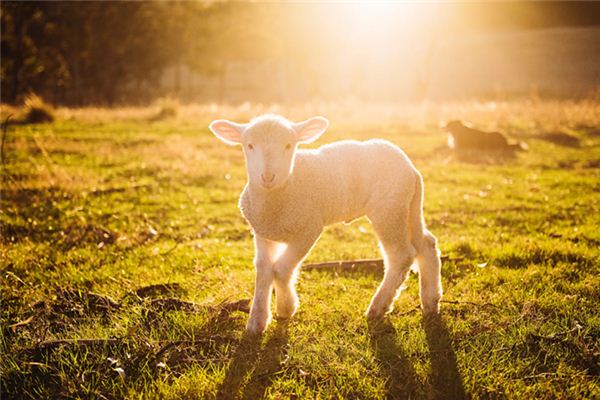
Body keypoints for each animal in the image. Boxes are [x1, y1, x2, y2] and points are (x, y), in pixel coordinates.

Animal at [209, 114, 442, 332]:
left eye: (288, 145)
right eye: (249, 145)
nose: (267, 176)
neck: (283, 192)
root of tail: (411, 168)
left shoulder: (308, 229)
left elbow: (281, 269)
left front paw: (286, 308)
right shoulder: (263, 232)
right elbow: (264, 270)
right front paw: (257, 321)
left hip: (389, 210)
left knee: (401, 256)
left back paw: (378, 307)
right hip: (409, 207)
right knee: (426, 244)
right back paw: (431, 302)